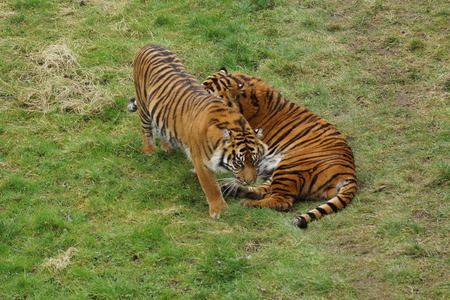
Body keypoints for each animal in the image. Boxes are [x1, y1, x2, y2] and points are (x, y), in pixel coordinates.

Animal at [127, 45, 268, 218]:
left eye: (255, 161)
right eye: (239, 163)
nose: (250, 181)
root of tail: (149, 45)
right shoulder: (202, 162)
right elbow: (211, 187)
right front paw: (219, 210)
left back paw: (168, 147)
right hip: (143, 104)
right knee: (145, 128)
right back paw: (150, 151)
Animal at [202, 68, 356, 227]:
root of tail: (349, 171)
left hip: (290, 166)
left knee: (282, 201)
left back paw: (247, 204)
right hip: (279, 172)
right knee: (264, 191)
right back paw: (233, 189)